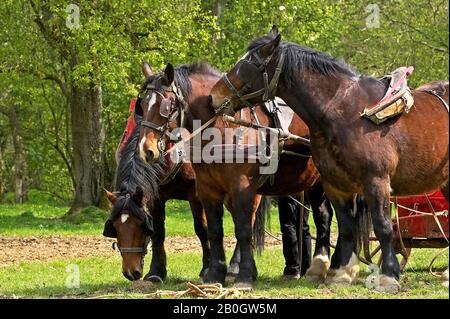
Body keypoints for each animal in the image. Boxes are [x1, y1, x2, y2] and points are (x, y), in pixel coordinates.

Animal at [211, 26, 450, 294]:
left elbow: (383, 227)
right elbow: (346, 226)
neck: (348, 113)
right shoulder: (335, 185)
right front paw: (341, 272)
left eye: (251, 64)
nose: (215, 95)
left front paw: (389, 274)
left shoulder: (376, 182)